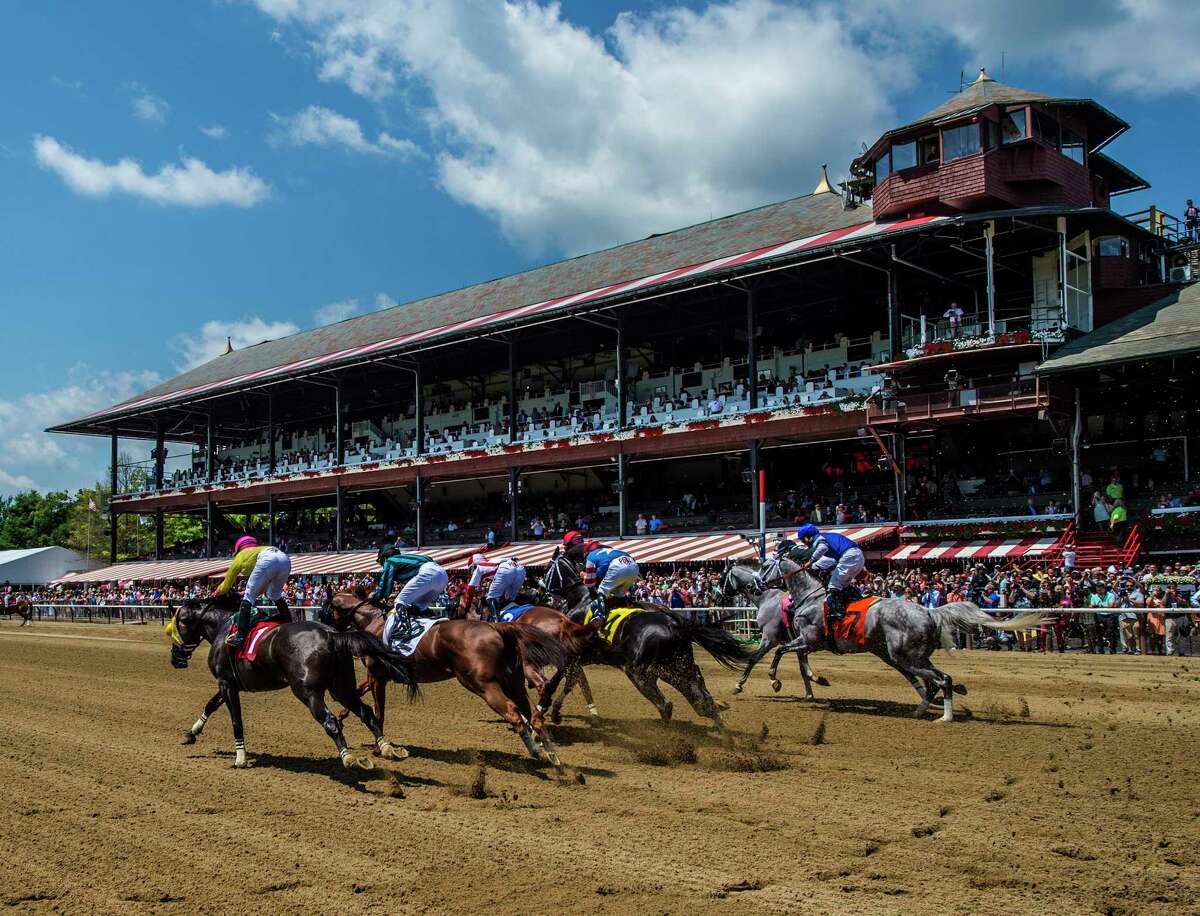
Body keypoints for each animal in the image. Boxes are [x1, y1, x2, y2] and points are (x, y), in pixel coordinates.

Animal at [164, 590, 417, 768]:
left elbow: (236, 719)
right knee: (367, 713)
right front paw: (191, 733)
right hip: (341, 687)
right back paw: (387, 748)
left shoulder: (226, 683)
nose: (175, 659)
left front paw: (240, 758)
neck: (224, 626)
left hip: (308, 692)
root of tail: (332, 635)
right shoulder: (229, 682)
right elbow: (211, 704)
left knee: (331, 721)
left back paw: (349, 758)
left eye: (175, 626)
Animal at [324, 588, 566, 768]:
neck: (373, 623)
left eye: (326, 607)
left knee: (514, 713)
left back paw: (537, 752)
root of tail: (496, 627)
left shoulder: (376, 676)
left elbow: (377, 710)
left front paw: (380, 746)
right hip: (514, 683)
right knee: (534, 715)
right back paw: (552, 755)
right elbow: (358, 693)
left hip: (482, 684)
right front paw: (343, 715)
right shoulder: (377, 676)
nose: (325, 628)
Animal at [542, 547, 753, 734]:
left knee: (666, 705)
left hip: (639, 672)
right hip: (677, 669)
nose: (541, 589)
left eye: (548, 568)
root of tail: (675, 626)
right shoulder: (585, 657)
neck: (580, 599)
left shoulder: (570, 653)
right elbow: (572, 681)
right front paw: (555, 712)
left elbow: (559, 680)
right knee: (702, 702)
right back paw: (726, 736)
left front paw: (545, 705)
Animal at [720, 559, 1041, 725]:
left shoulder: (781, 637)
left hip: (902, 654)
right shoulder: (803, 640)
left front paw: (763, 681)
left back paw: (943, 715)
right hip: (896, 654)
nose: (756, 583)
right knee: (928, 680)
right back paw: (925, 707)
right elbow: (800, 664)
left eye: (766, 567)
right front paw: (813, 685)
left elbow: (766, 657)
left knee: (940, 679)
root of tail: (929, 611)